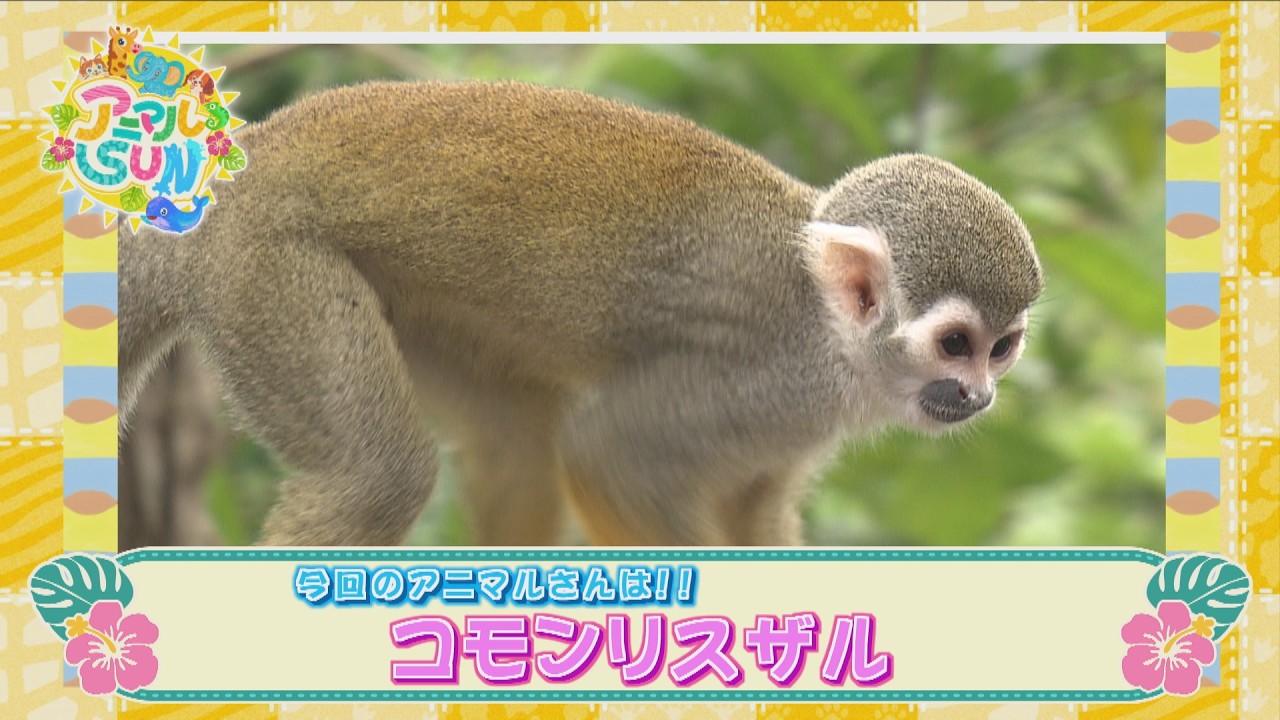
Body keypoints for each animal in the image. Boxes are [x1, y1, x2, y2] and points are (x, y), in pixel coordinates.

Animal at [118, 81, 1043, 547]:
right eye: (954, 344)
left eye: (1002, 349)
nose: (979, 396)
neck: (832, 339)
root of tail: (232, 166)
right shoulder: (756, 380)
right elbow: (612, 455)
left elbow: (755, 513)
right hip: (266, 268)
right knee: (383, 476)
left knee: (515, 444)